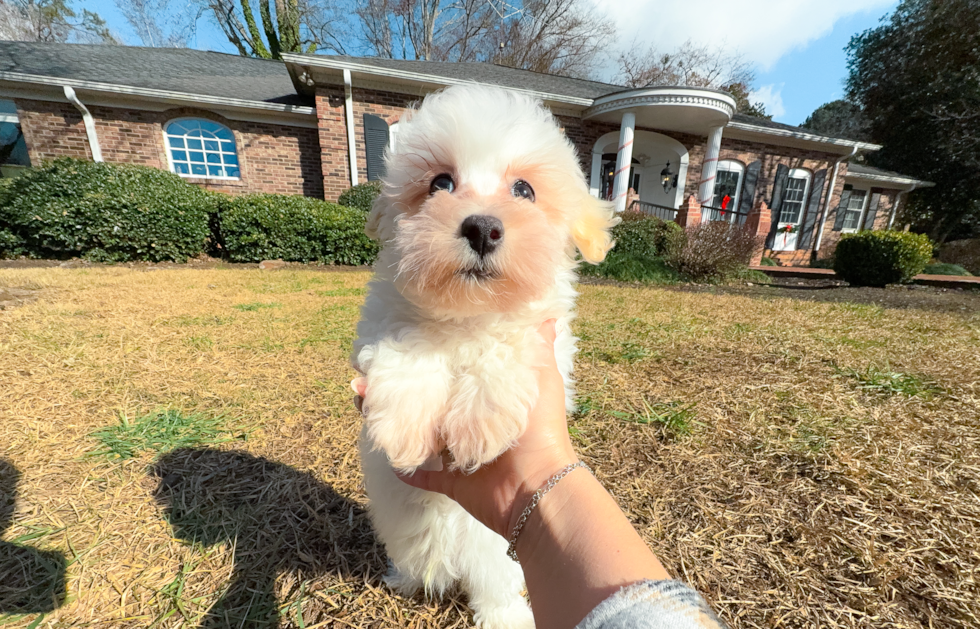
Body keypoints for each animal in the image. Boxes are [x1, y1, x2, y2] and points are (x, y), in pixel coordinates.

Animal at [350, 84, 612, 628]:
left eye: (524, 191)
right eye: (440, 183)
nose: (483, 228)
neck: (468, 315)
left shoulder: (546, 342)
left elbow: (506, 345)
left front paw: (477, 425)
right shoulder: (385, 322)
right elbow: (408, 346)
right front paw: (405, 427)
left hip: (501, 558)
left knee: (498, 591)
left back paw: (506, 617)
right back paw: (405, 580)